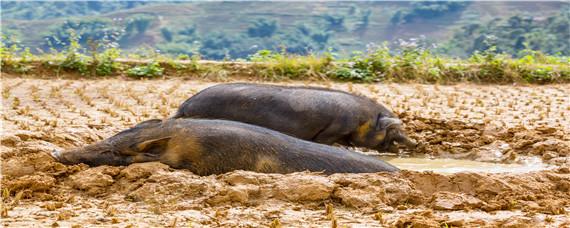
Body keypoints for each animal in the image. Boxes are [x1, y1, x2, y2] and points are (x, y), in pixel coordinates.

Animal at [171, 83, 414, 152]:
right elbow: (326, 142)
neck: (363, 119)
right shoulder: (332, 130)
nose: (415, 143)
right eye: (393, 129)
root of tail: (185, 105)